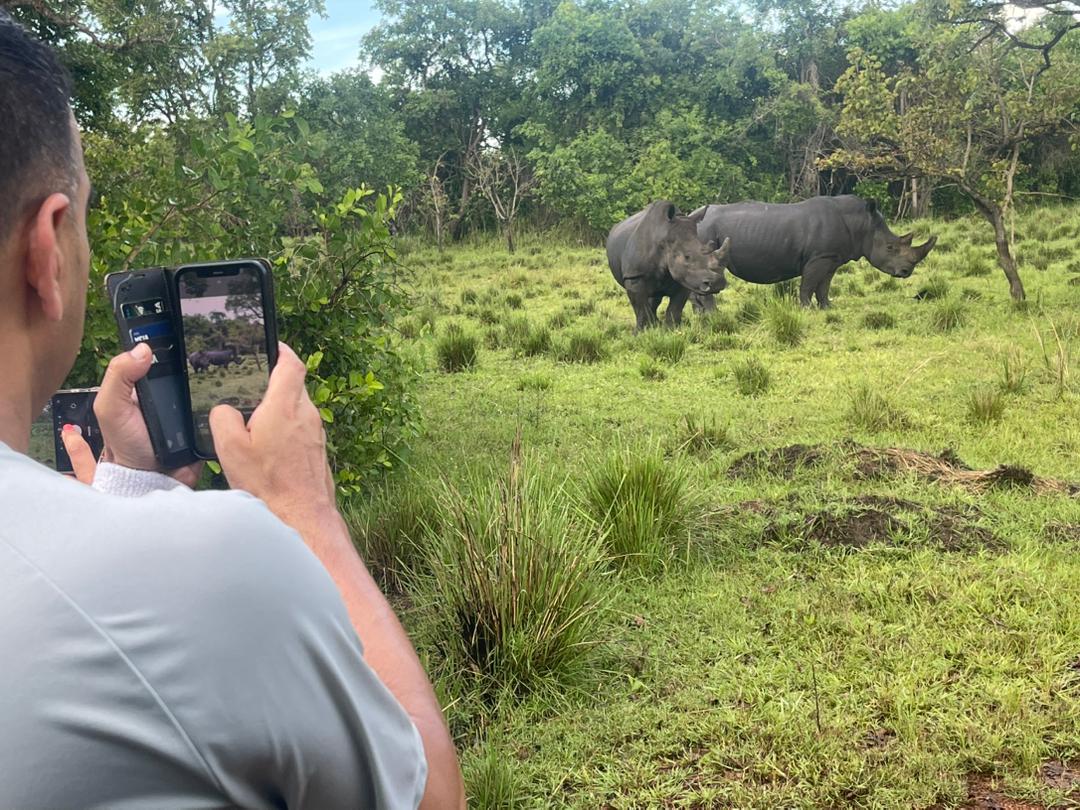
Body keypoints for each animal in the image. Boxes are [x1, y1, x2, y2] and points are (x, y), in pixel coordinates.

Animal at [606, 201, 732, 331]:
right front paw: (642, 332)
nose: (717, 283)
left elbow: (675, 309)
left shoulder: (684, 279)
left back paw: (656, 323)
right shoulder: (634, 276)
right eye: (686, 257)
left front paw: (671, 330)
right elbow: (640, 309)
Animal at [689, 195, 937, 309]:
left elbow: (824, 285)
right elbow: (808, 284)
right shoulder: (818, 258)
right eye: (890, 248)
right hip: (706, 232)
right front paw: (806, 309)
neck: (862, 225)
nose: (906, 272)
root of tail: (691, 217)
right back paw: (713, 314)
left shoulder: (831, 258)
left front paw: (827, 307)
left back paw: (702, 315)